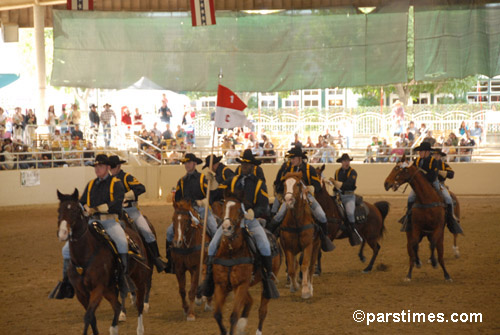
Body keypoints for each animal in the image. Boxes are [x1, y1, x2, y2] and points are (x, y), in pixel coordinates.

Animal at [56, 190, 150, 334]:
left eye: (75, 210)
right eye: (59, 210)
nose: (63, 233)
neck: (84, 256)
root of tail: (133, 234)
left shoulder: (98, 289)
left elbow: (88, 316)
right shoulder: (81, 293)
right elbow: (92, 318)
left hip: (138, 278)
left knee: (139, 304)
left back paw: (139, 329)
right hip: (109, 288)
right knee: (117, 306)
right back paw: (115, 327)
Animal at [212, 197, 280, 335]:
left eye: (239, 210)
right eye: (223, 208)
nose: (226, 227)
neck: (231, 252)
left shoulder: (241, 284)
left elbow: (233, 316)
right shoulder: (221, 285)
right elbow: (217, 315)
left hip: (266, 282)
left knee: (262, 310)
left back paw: (257, 331)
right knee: (250, 301)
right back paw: (242, 325)